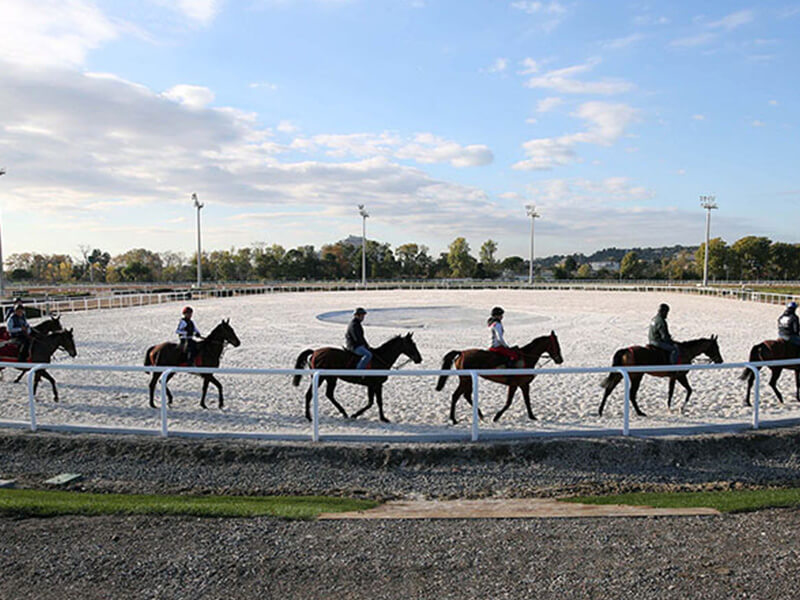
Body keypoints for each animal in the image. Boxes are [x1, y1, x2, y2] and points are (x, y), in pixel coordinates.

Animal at [290, 330, 422, 424]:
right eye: (411, 344)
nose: (419, 359)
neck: (380, 358)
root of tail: (315, 352)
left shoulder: (372, 385)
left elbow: (372, 402)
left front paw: (357, 415)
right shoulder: (376, 384)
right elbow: (376, 402)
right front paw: (382, 418)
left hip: (331, 378)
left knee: (329, 394)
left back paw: (343, 413)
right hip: (321, 378)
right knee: (310, 394)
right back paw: (309, 417)